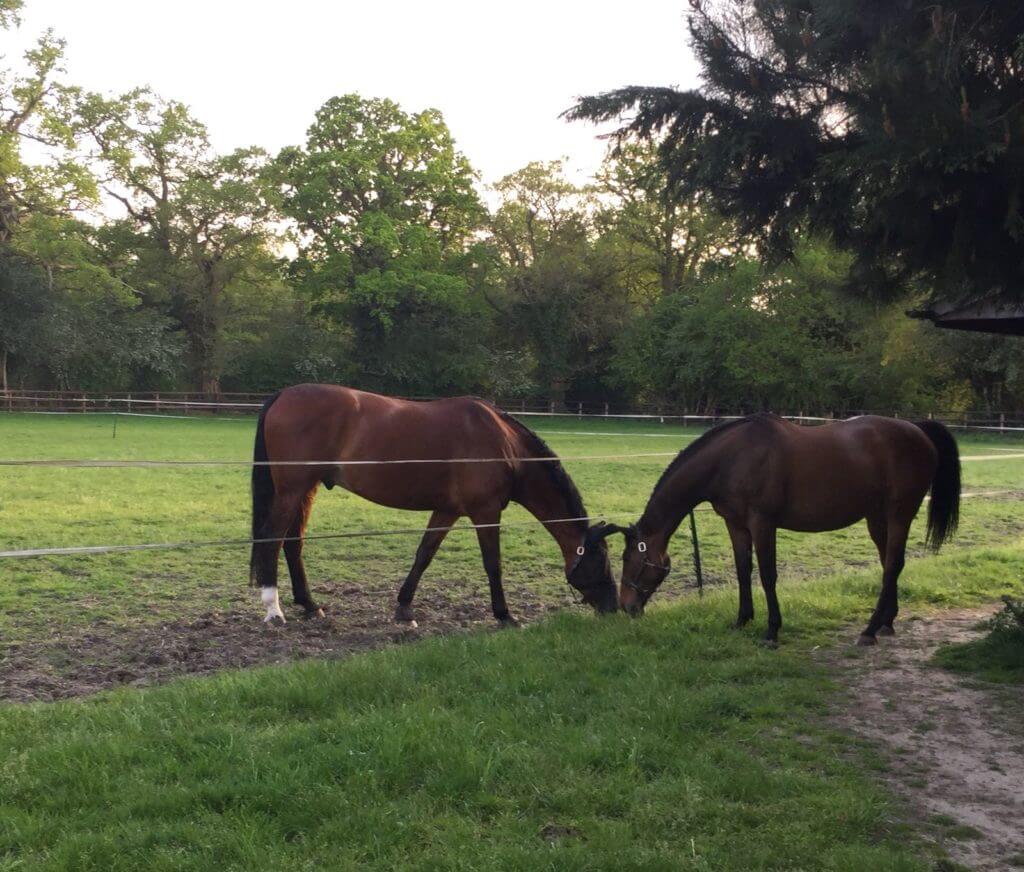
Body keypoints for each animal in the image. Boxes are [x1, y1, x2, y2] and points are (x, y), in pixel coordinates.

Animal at [248, 384, 619, 625]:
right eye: (601, 561)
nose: (614, 607)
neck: (505, 445)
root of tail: (283, 395)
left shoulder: (447, 510)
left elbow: (424, 554)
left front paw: (404, 609)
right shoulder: (485, 513)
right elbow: (493, 564)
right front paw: (504, 615)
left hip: (305, 489)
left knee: (293, 543)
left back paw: (310, 605)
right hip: (292, 489)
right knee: (273, 538)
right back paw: (274, 610)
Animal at [591, 414, 960, 646]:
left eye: (631, 560)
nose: (627, 606)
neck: (732, 458)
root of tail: (917, 429)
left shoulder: (762, 522)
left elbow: (767, 575)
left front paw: (771, 631)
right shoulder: (736, 524)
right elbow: (743, 570)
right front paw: (742, 620)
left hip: (899, 514)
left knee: (893, 565)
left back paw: (869, 630)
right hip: (876, 518)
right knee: (889, 565)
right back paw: (886, 622)